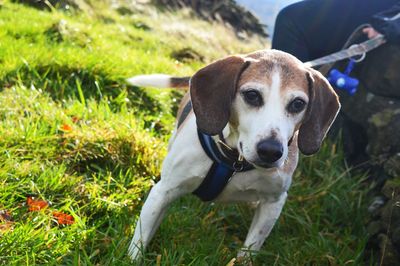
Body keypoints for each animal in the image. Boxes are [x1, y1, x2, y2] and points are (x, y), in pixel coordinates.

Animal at [126, 49, 340, 260]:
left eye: (297, 104)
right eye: (252, 95)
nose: (271, 151)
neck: (234, 160)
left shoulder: (273, 203)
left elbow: (249, 251)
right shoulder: (163, 192)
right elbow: (140, 241)